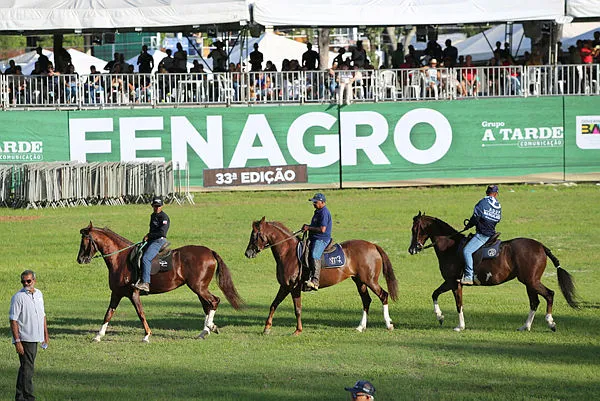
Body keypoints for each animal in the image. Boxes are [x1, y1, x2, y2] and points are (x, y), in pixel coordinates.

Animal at [76, 222, 243, 340]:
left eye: (84, 241)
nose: (80, 259)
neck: (121, 259)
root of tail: (210, 251)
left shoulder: (133, 293)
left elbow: (140, 313)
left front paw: (147, 335)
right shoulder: (117, 293)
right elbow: (108, 313)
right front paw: (98, 335)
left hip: (199, 287)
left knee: (214, 301)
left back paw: (209, 327)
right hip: (198, 288)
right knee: (207, 305)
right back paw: (205, 331)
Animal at [244, 217, 398, 332]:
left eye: (254, 235)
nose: (247, 253)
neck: (288, 253)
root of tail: (373, 245)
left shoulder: (294, 287)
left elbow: (297, 309)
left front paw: (298, 330)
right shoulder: (284, 286)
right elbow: (273, 305)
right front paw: (266, 328)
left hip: (370, 280)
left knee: (383, 295)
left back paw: (388, 324)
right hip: (360, 281)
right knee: (366, 301)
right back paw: (361, 327)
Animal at [408, 212, 576, 332]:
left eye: (415, 229)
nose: (412, 249)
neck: (451, 247)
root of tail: (541, 246)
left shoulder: (453, 283)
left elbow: (455, 303)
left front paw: (456, 325)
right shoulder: (453, 283)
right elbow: (436, 295)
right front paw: (442, 317)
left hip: (531, 281)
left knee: (549, 294)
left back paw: (550, 322)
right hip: (529, 283)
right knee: (535, 302)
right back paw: (525, 326)